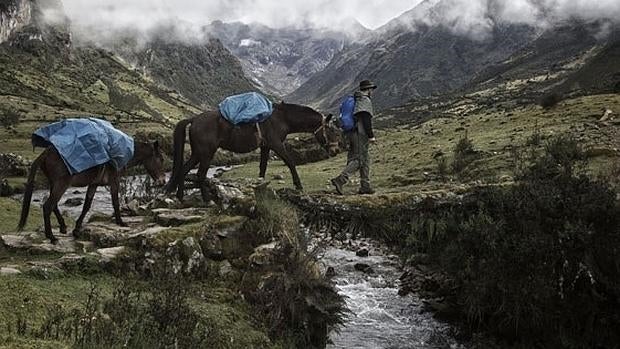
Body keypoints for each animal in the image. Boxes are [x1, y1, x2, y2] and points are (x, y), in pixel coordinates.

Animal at [18, 139, 166, 242]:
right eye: (161, 159)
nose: (162, 182)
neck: (123, 153)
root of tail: (45, 153)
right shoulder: (114, 182)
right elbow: (115, 202)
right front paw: (121, 222)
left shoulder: (93, 184)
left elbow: (86, 206)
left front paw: (76, 229)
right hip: (61, 184)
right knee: (48, 206)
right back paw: (51, 237)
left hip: (53, 183)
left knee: (53, 205)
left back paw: (63, 227)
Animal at [166, 101, 340, 201]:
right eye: (332, 130)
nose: (336, 150)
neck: (282, 118)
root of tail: (194, 119)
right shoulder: (276, 144)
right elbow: (290, 162)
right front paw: (298, 185)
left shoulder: (265, 146)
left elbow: (262, 167)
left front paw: (260, 187)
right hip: (206, 154)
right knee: (200, 175)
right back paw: (206, 199)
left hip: (197, 153)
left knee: (183, 170)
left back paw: (180, 197)